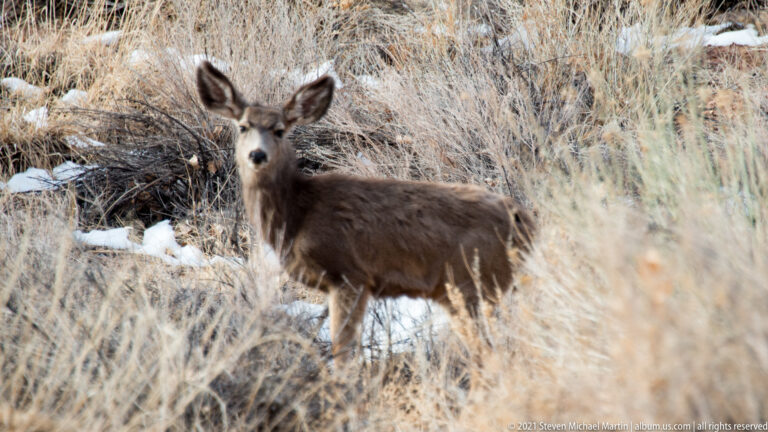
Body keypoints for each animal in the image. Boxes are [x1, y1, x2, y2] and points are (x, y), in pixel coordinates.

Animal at [196, 61, 535, 367]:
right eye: (243, 127)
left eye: (279, 130)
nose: (257, 154)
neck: (297, 213)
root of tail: (524, 219)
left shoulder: (349, 273)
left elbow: (343, 352)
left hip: (470, 284)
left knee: (492, 354)